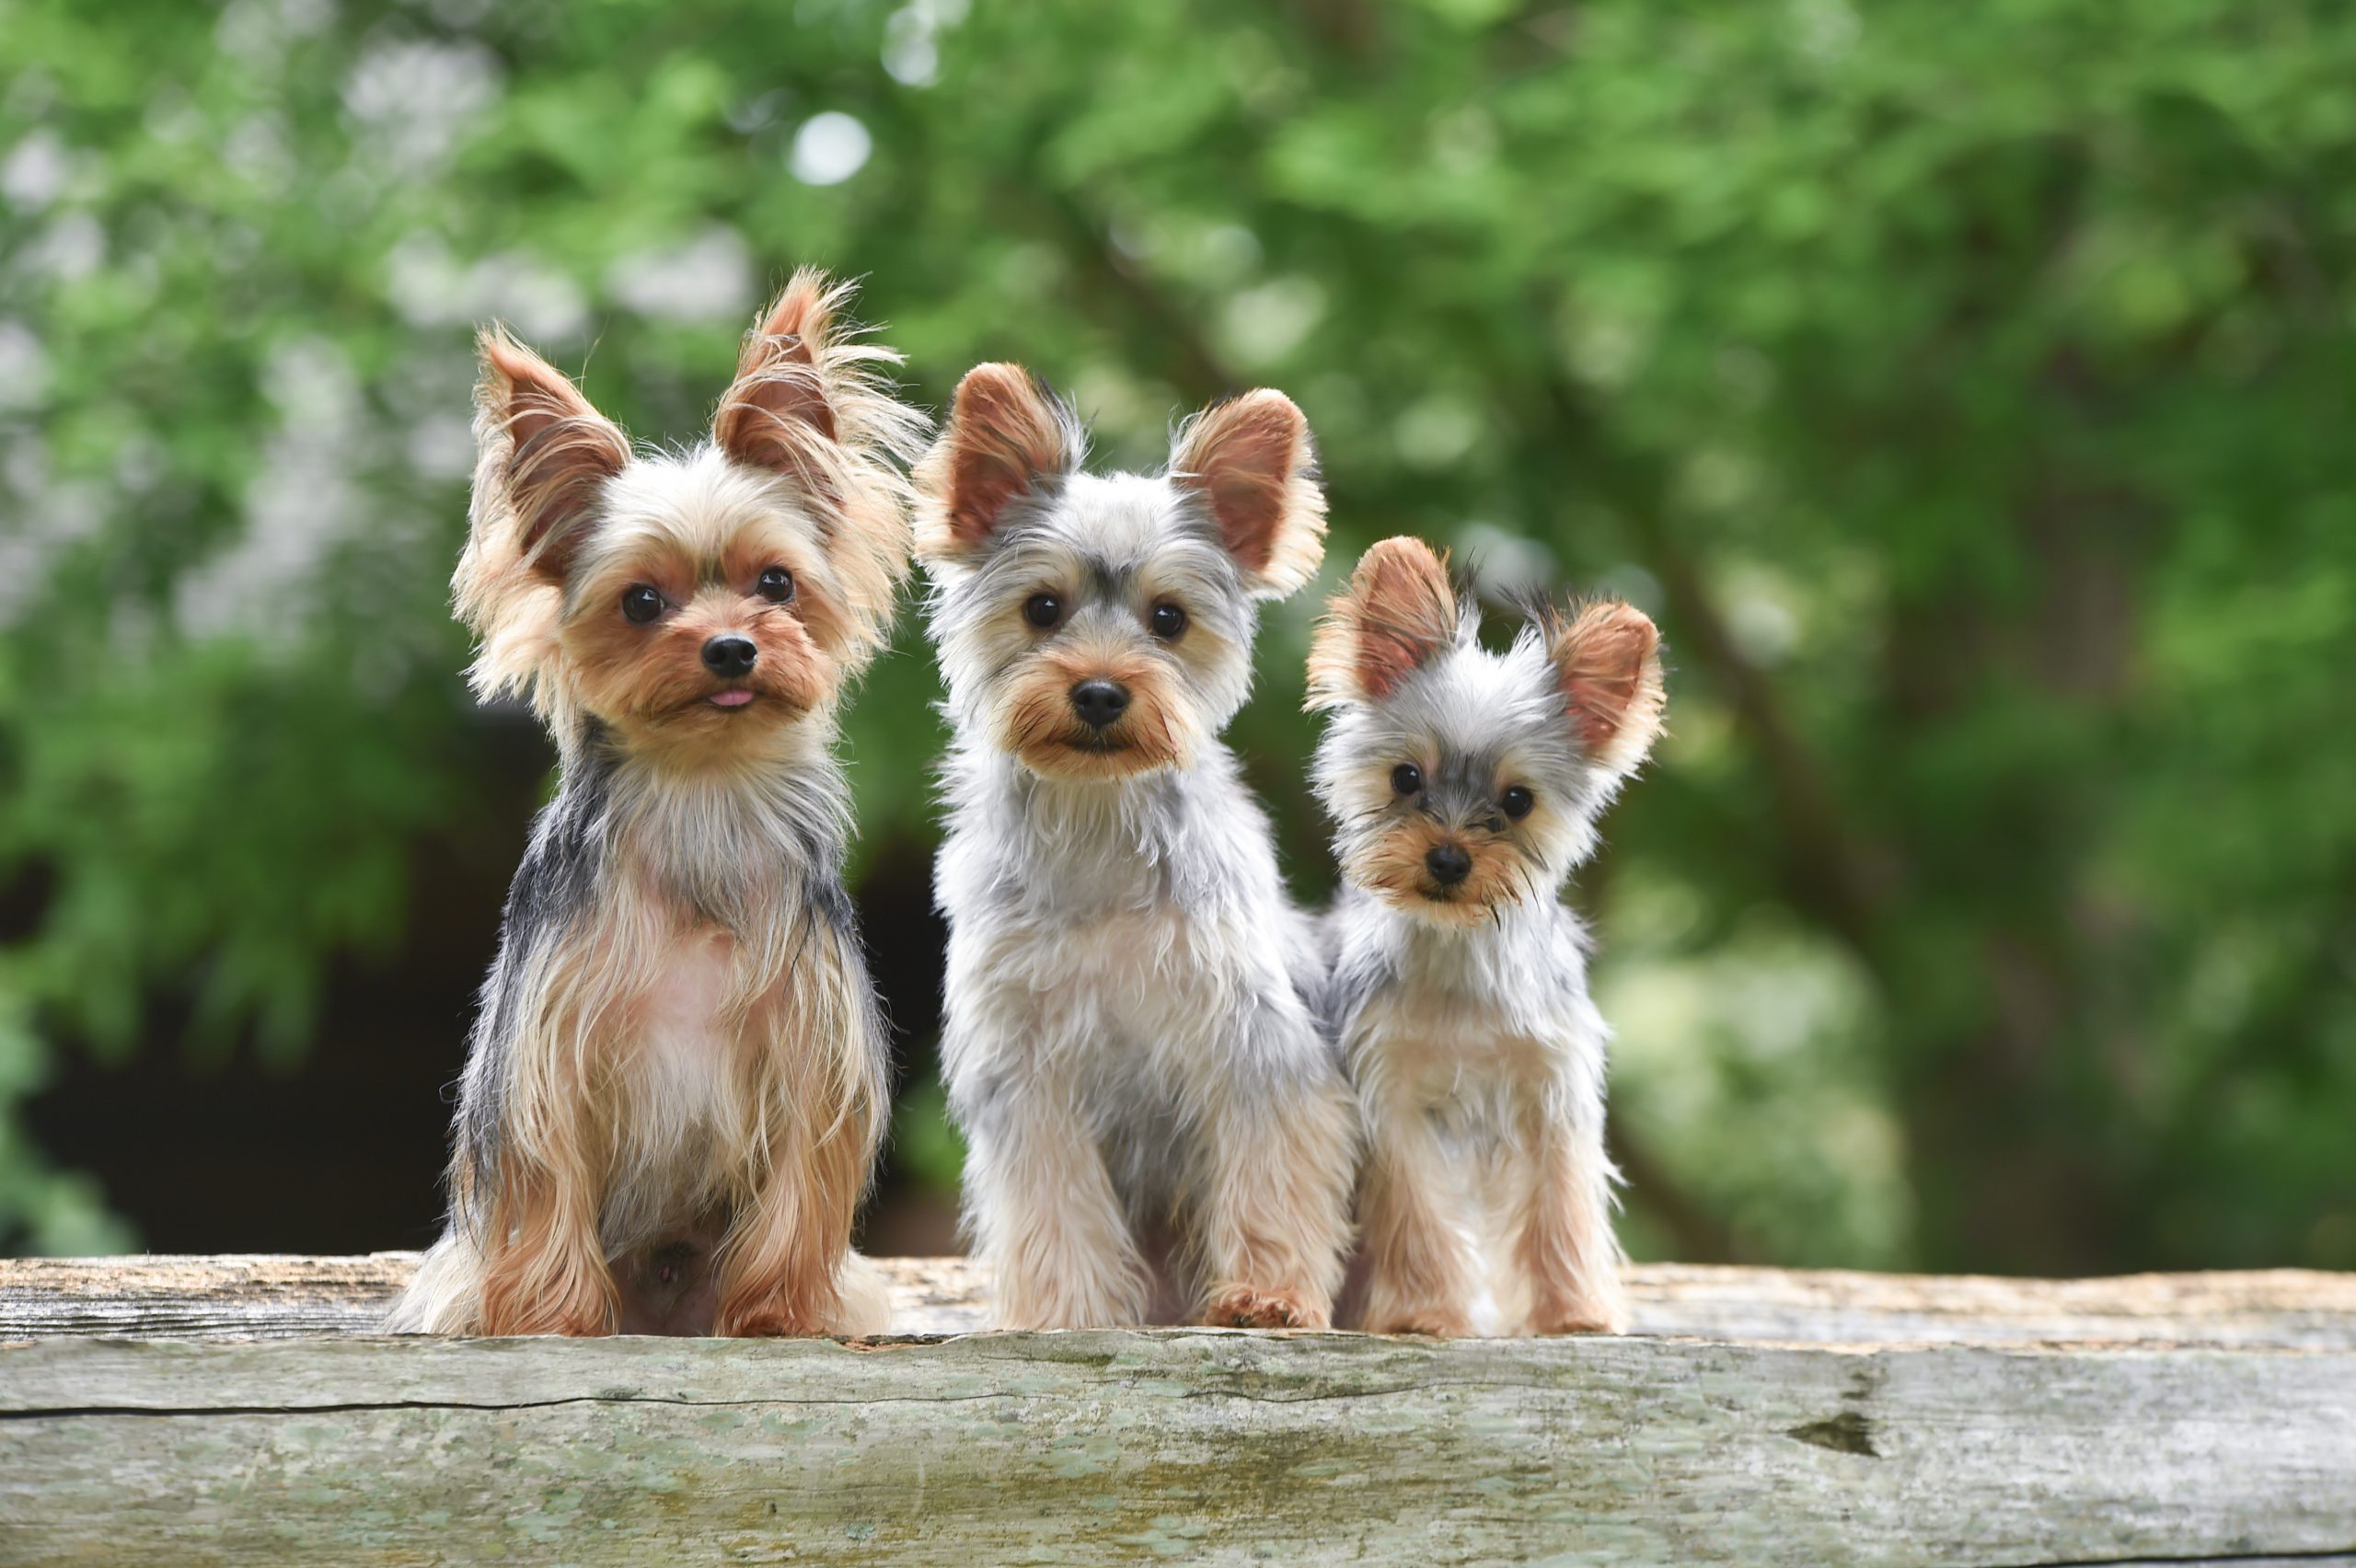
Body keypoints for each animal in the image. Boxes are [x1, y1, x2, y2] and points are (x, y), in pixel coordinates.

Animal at [390, 268, 923, 1328]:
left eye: (776, 583)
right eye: (642, 601)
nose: (731, 648)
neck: (702, 793)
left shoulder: (813, 1052)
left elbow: (801, 1189)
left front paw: (776, 1318)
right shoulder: (548, 1053)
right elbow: (547, 1184)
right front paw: (552, 1319)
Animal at [909, 363, 1357, 1318]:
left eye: (1169, 618)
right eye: (1043, 608)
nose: (1102, 691)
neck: (1096, 821)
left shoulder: (1254, 1046)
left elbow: (1270, 1177)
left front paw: (1265, 1295)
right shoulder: (1028, 1073)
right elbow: (1054, 1211)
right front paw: (1065, 1315)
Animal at [1310, 536, 1677, 1328]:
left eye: (1517, 800)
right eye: (1406, 778)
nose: (1448, 859)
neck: (1458, 951)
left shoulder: (1552, 1095)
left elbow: (1560, 1209)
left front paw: (1574, 1314)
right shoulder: (1393, 1101)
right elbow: (1417, 1213)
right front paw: (1423, 1315)